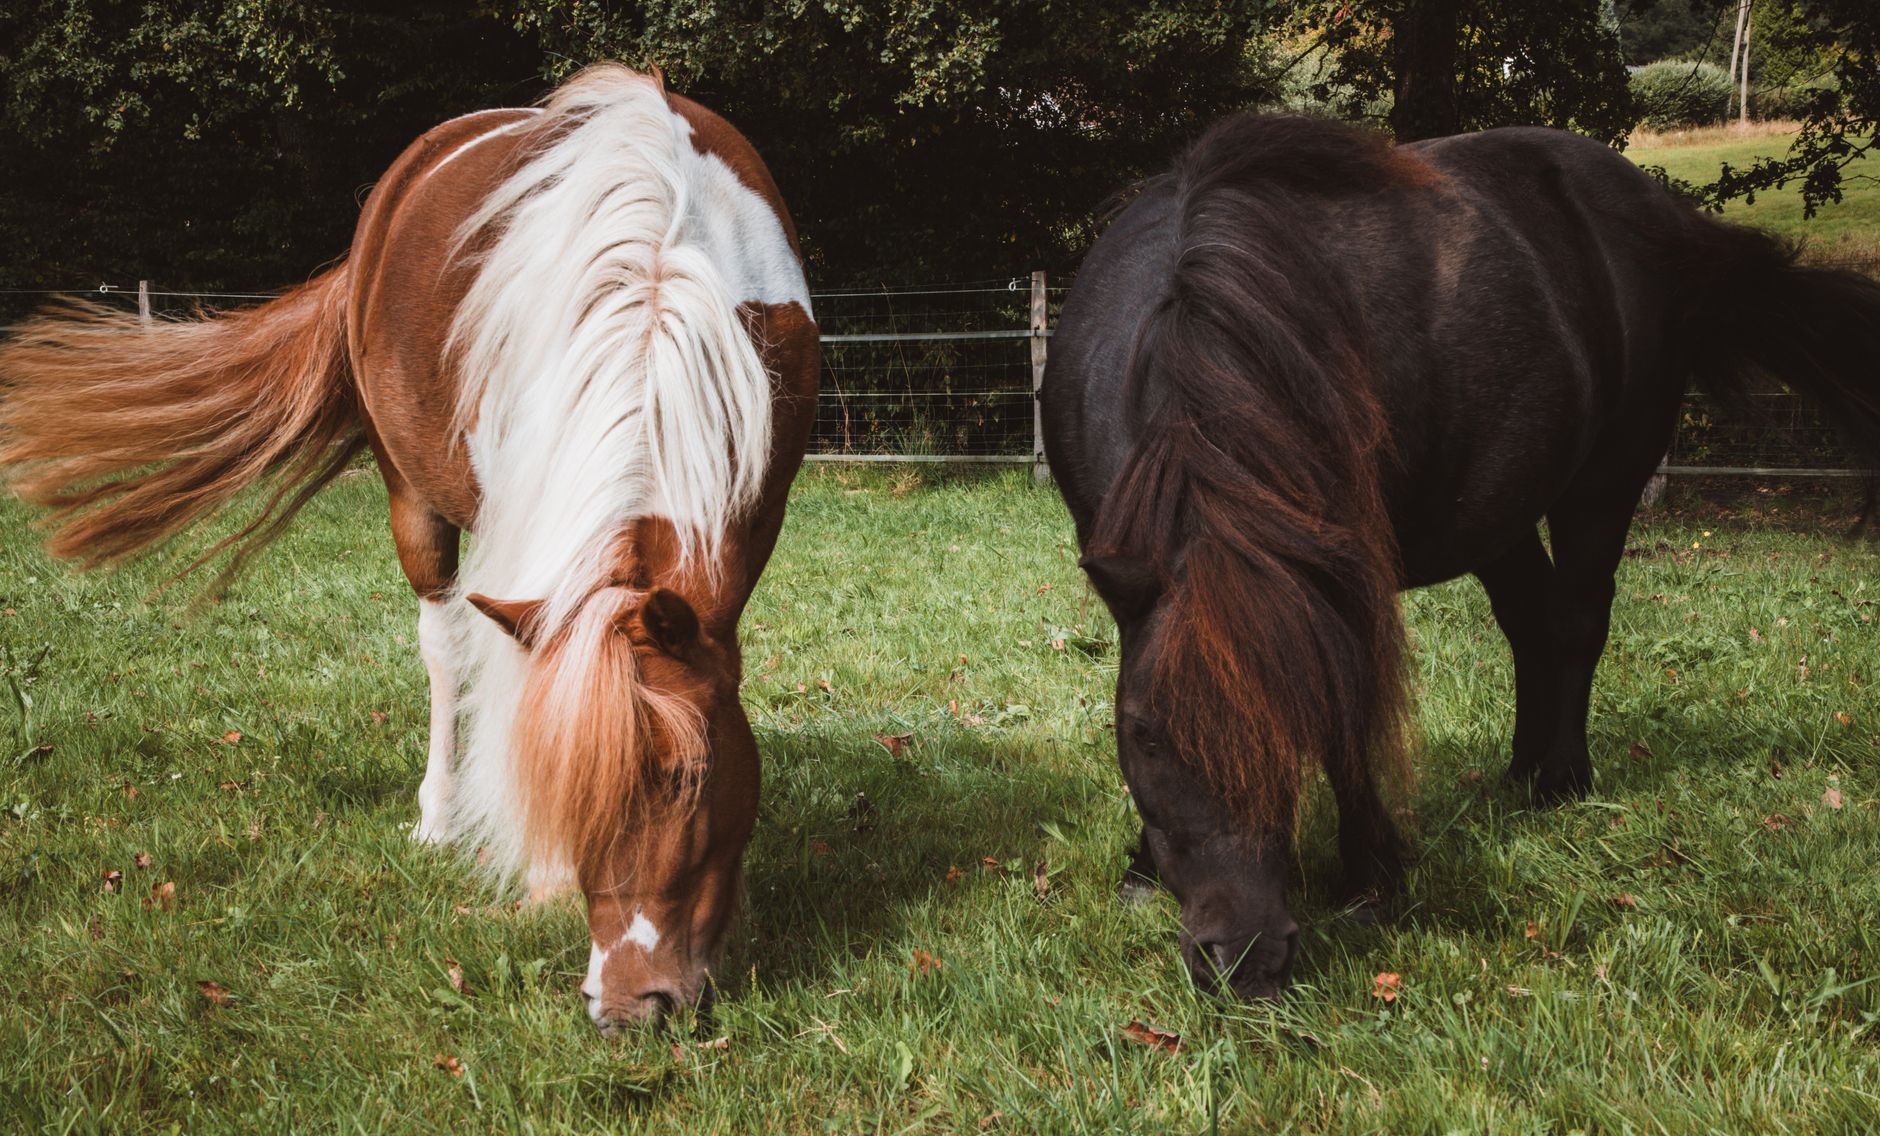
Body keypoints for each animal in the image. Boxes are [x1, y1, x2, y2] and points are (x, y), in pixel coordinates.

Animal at [0, 65, 819, 1031]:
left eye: (691, 776)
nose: (627, 1004)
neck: (660, 276)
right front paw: (540, 869)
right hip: (413, 499)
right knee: (444, 646)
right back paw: (440, 815)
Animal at [1042, 113, 1880, 1001]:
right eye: (1144, 733)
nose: (1244, 957)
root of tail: (1672, 222)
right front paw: (1140, 870)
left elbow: (1353, 724)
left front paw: (1371, 881)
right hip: (1504, 519)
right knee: (1533, 625)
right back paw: (1521, 772)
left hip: (1604, 483)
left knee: (1577, 623)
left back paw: (1561, 780)